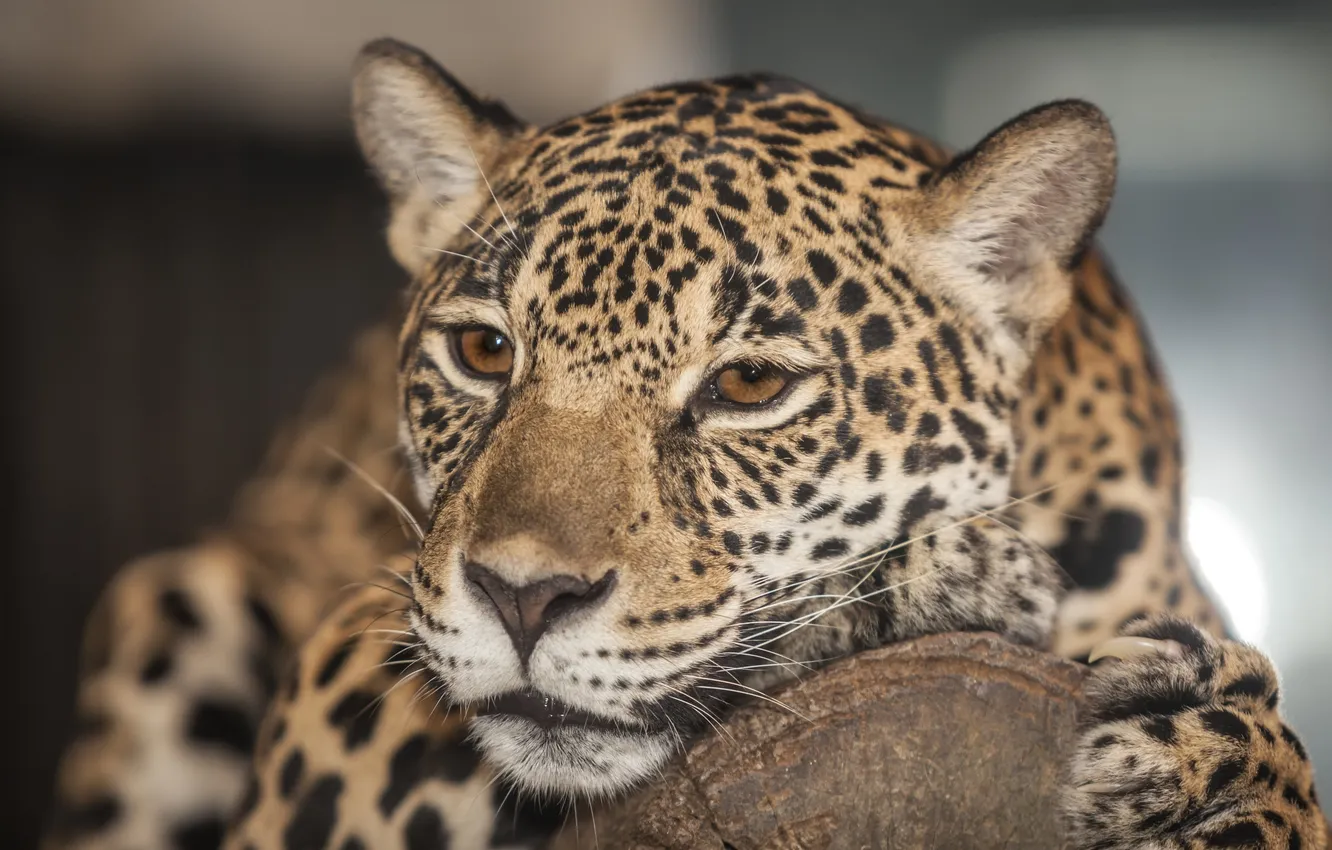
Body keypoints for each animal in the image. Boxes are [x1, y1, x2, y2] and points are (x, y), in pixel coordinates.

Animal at [42, 37, 1325, 850]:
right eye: (485, 351)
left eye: (749, 383)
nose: (524, 599)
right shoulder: (353, 679)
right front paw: (952, 577)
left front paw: (1209, 751)